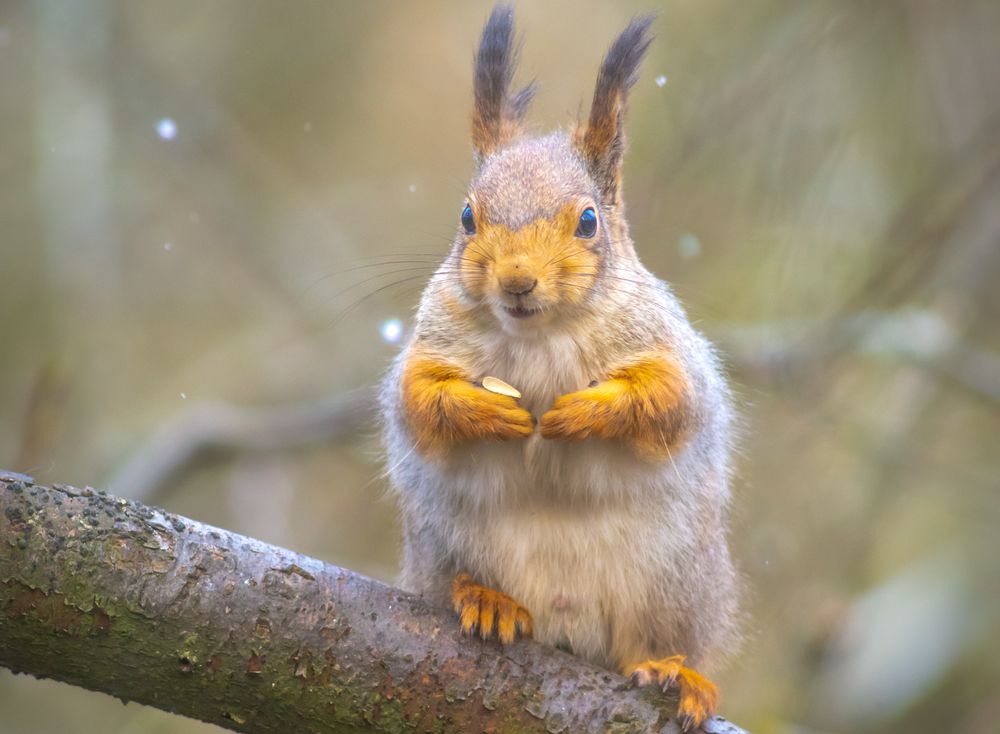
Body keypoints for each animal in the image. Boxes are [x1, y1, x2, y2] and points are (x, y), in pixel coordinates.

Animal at [380, 6, 739, 730]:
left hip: (680, 584)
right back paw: (484, 598)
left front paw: (586, 412)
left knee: (659, 641)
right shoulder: (431, 341)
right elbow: (417, 400)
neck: (539, 337)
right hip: (441, 546)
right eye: (467, 216)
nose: (517, 281)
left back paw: (677, 673)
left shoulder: (667, 346)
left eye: (589, 221)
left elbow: (671, 401)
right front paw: (484, 409)